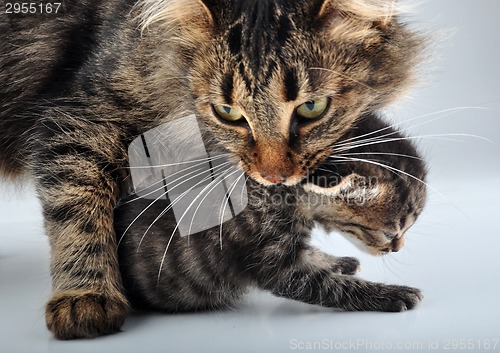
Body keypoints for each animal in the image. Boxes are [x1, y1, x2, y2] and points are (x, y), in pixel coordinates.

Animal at [0, 0, 426, 338]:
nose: (273, 175)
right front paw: (86, 295)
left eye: (312, 107)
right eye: (227, 112)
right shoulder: (76, 119)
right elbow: (75, 207)